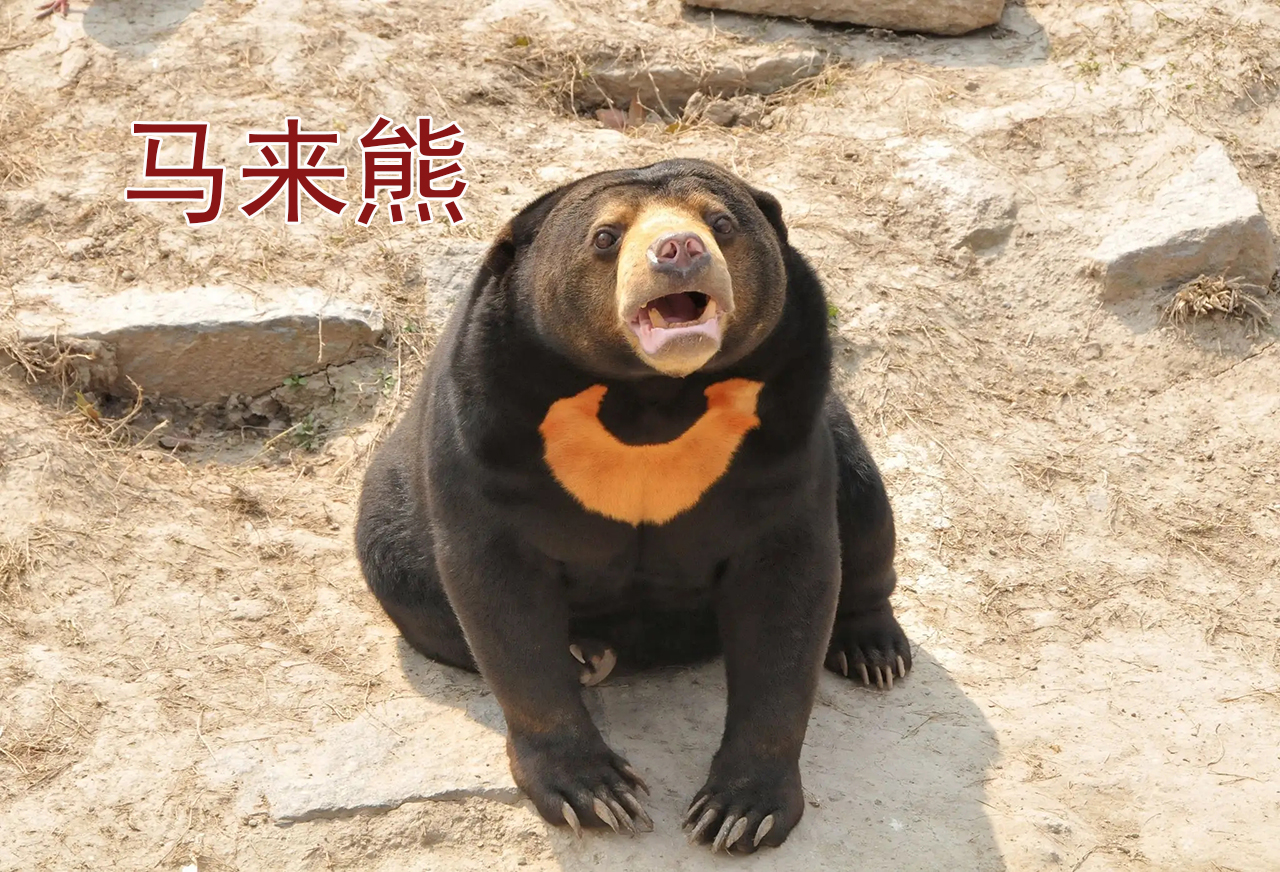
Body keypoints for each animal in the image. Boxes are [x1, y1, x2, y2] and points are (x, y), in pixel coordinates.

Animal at [354, 158, 912, 854]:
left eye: (721, 222)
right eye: (605, 237)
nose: (679, 250)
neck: (650, 399)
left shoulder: (784, 427)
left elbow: (790, 587)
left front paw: (740, 812)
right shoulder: (485, 428)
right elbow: (500, 597)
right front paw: (593, 795)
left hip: (837, 431)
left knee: (864, 504)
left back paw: (874, 652)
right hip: (387, 522)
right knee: (407, 578)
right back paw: (588, 655)